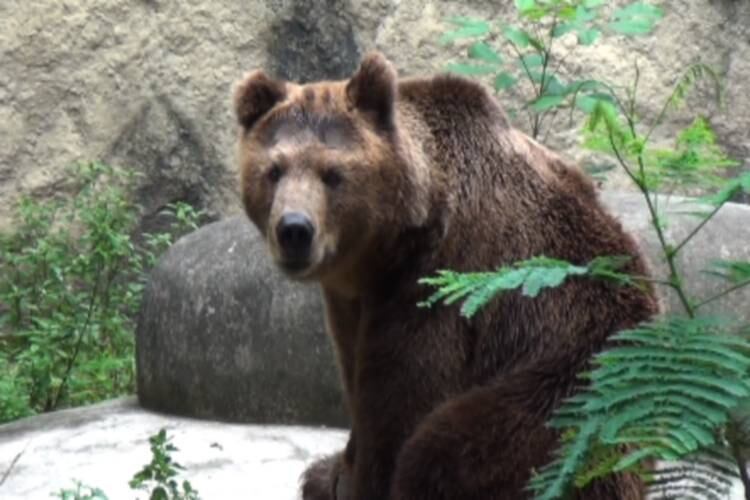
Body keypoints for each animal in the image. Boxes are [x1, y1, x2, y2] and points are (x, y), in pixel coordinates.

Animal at [232, 52, 659, 500]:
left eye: (333, 173)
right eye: (274, 170)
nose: (294, 229)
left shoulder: (439, 283)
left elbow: (401, 402)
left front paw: (362, 478)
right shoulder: (352, 300)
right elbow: (353, 372)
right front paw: (331, 472)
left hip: (573, 380)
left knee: (450, 447)